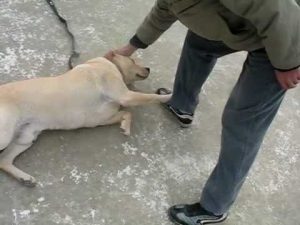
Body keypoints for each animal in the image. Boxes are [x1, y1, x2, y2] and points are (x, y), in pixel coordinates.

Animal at [0, 52, 171, 186]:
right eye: (133, 60)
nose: (148, 68)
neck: (109, 64)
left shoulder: (102, 118)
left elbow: (126, 113)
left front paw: (125, 126)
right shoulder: (126, 96)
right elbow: (150, 97)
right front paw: (168, 96)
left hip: (26, 137)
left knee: (3, 160)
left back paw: (24, 178)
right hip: (5, 134)